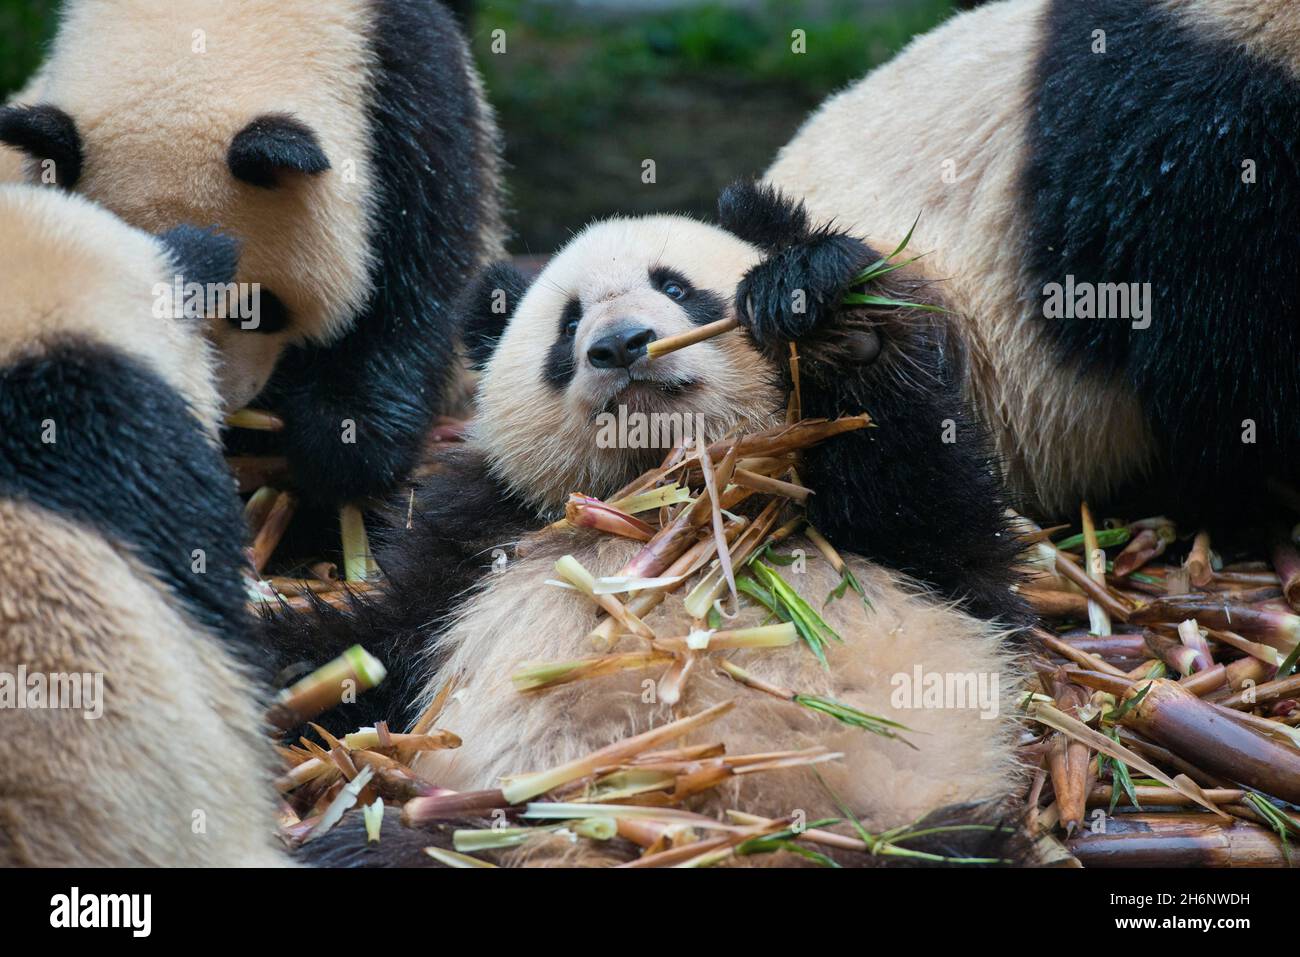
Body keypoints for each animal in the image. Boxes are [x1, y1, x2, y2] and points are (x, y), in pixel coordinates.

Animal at [263, 180, 1034, 868]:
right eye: (569, 323)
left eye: (677, 288)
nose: (622, 344)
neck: (663, 495)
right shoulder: (485, 535)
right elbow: (380, 648)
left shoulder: (922, 555)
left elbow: (933, 505)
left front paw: (830, 316)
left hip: (896, 819)